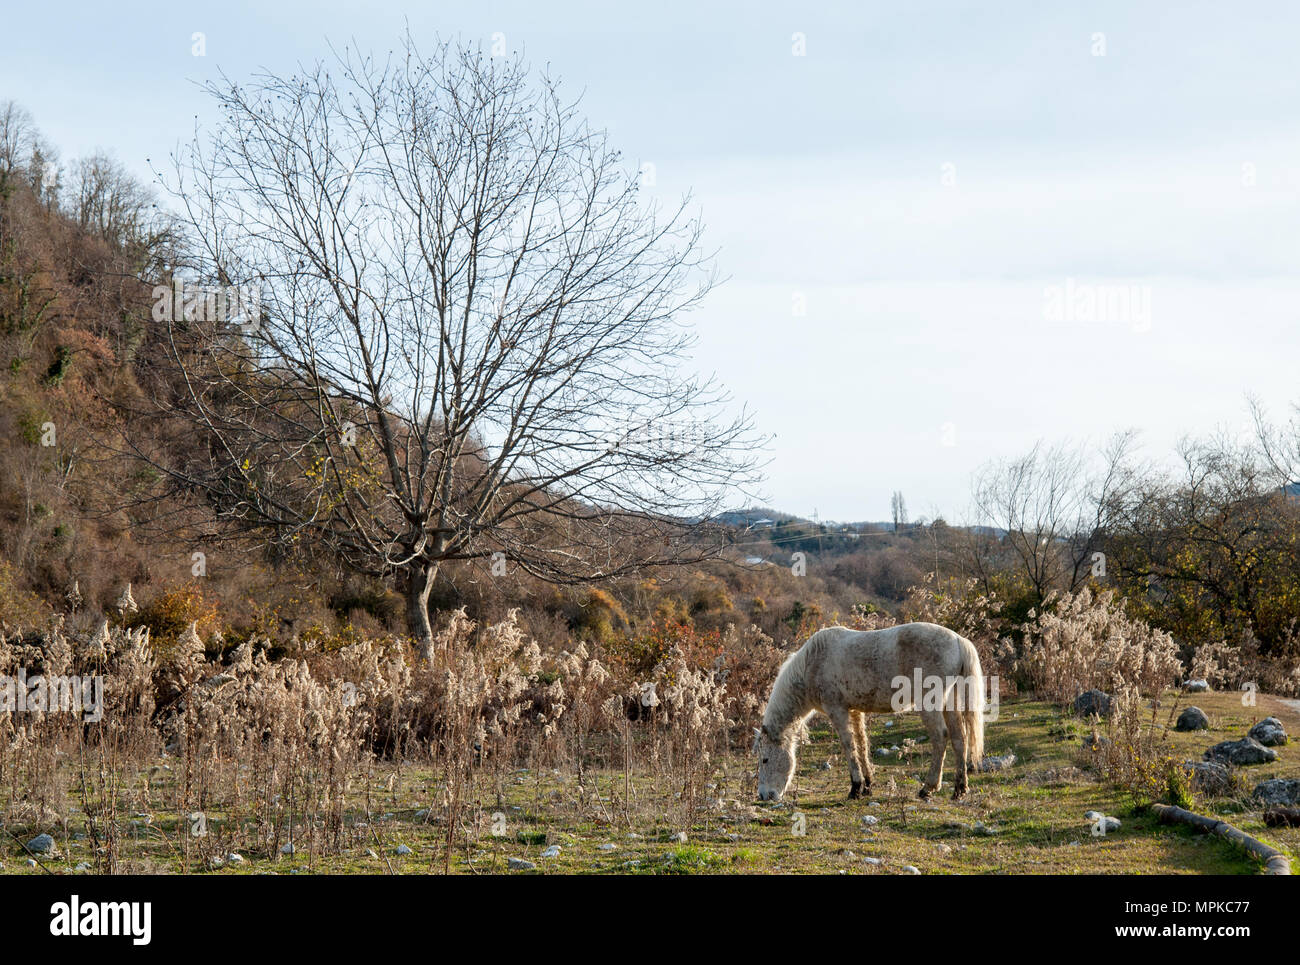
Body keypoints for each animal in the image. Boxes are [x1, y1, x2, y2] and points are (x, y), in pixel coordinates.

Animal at [754, 622, 984, 802]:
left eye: (765, 759)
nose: (764, 795)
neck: (813, 661)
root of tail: (958, 640)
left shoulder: (838, 711)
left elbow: (849, 746)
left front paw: (855, 788)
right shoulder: (855, 711)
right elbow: (862, 745)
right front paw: (868, 786)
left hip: (931, 704)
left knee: (940, 737)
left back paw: (928, 788)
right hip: (951, 700)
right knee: (959, 738)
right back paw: (959, 789)